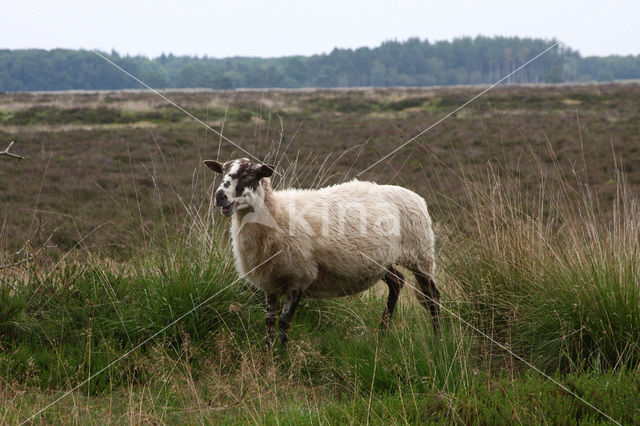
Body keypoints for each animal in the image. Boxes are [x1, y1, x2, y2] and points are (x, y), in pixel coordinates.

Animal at [205, 158, 440, 348]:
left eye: (250, 174)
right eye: (222, 172)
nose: (219, 196)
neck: (276, 213)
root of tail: (415, 195)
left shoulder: (298, 278)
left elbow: (284, 323)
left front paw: (282, 358)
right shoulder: (269, 281)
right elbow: (269, 322)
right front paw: (268, 355)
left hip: (421, 254)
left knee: (432, 297)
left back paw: (437, 340)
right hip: (381, 261)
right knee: (397, 281)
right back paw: (382, 336)